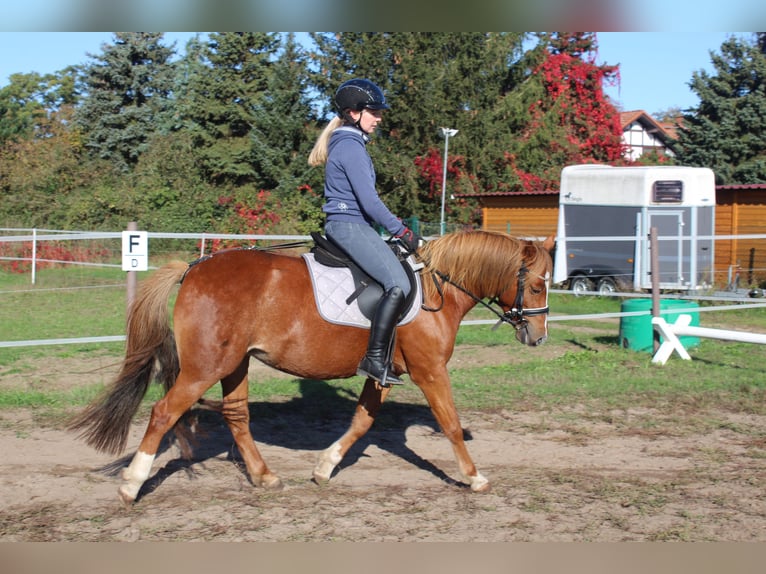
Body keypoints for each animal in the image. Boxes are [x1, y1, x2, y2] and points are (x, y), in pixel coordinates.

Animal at [69, 231, 556, 508]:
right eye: (536, 284)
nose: (538, 336)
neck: (438, 287)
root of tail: (194, 269)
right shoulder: (430, 370)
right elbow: (450, 423)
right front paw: (475, 478)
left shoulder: (382, 373)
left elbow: (361, 422)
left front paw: (324, 467)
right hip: (206, 366)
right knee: (163, 414)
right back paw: (132, 486)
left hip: (235, 363)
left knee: (237, 416)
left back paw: (264, 477)